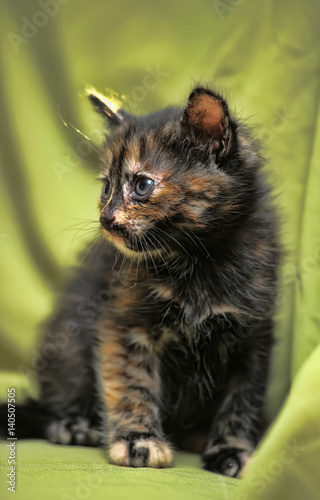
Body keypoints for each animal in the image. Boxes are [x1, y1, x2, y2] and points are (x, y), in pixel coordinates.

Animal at [2, 88, 278, 478]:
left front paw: (232, 450)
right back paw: (73, 426)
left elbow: (243, 399)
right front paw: (138, 442)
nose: (105, 218)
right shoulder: (123, 322)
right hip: (67, 347)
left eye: (143, 185)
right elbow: (133, 384)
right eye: (106, 187)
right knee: (50, 407)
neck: (199, 262)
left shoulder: (254, 335)